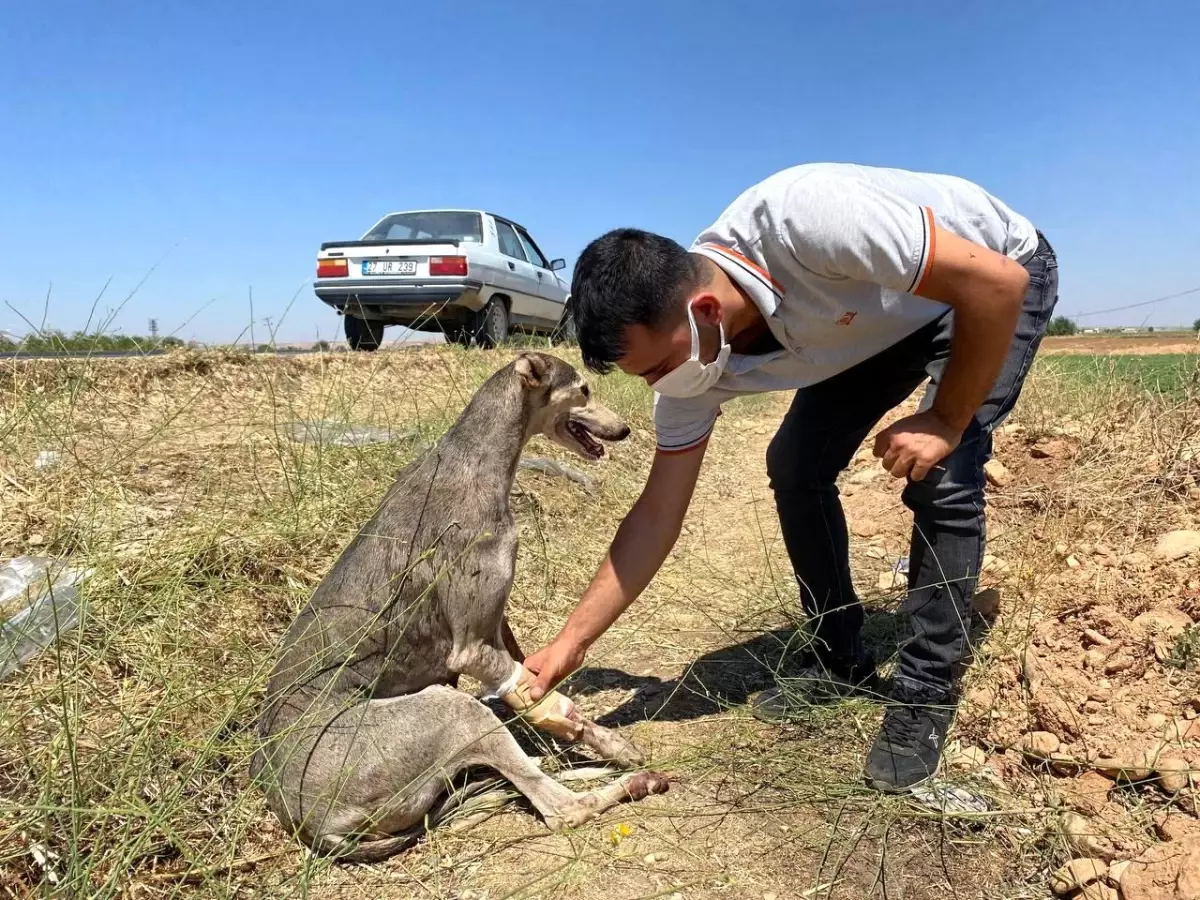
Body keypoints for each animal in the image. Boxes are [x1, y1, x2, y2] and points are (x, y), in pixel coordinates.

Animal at [249, 348, 672, 864]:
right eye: (585, 389)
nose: (625, 430)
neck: (475, 457)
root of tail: (305, 820)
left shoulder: (496, 624)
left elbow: (534, 686)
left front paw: (594, 739)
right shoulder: (469, 647)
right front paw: (601, 741)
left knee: (524, 775)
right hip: (450, 710)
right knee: (558, 806)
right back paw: (631, 782)